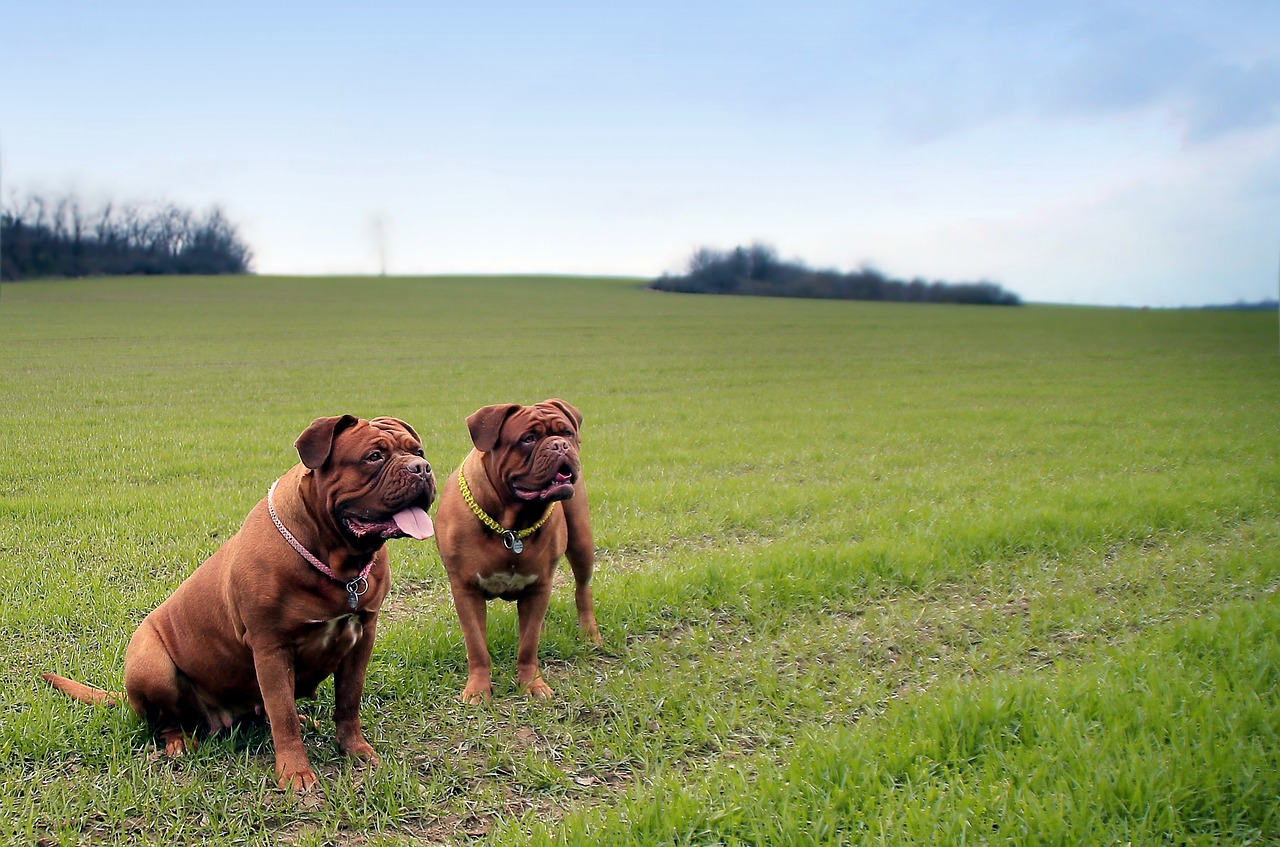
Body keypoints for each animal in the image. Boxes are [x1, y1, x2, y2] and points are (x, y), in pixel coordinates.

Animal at [42, 417, 437, 798]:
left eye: (417, 450)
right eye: (374, 456)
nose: (422, 467)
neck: (338, 563)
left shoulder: (362, 636)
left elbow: (348, 701)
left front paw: (355, 749)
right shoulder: (271, 647)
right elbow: (283, 714)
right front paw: (295, 772)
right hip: (151, 663)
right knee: (167, 720)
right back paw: (177, 742)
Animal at [432, 401, 601, 706]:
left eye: (567, 432)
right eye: (528, 438)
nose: (559, 445)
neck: (512, 523)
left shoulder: (539, 586)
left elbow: (528, 645)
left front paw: (532, 685)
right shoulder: (465, 589)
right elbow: (477, 646)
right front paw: (478, 690)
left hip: (581, 540)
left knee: (583, 589)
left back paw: (590, 634)